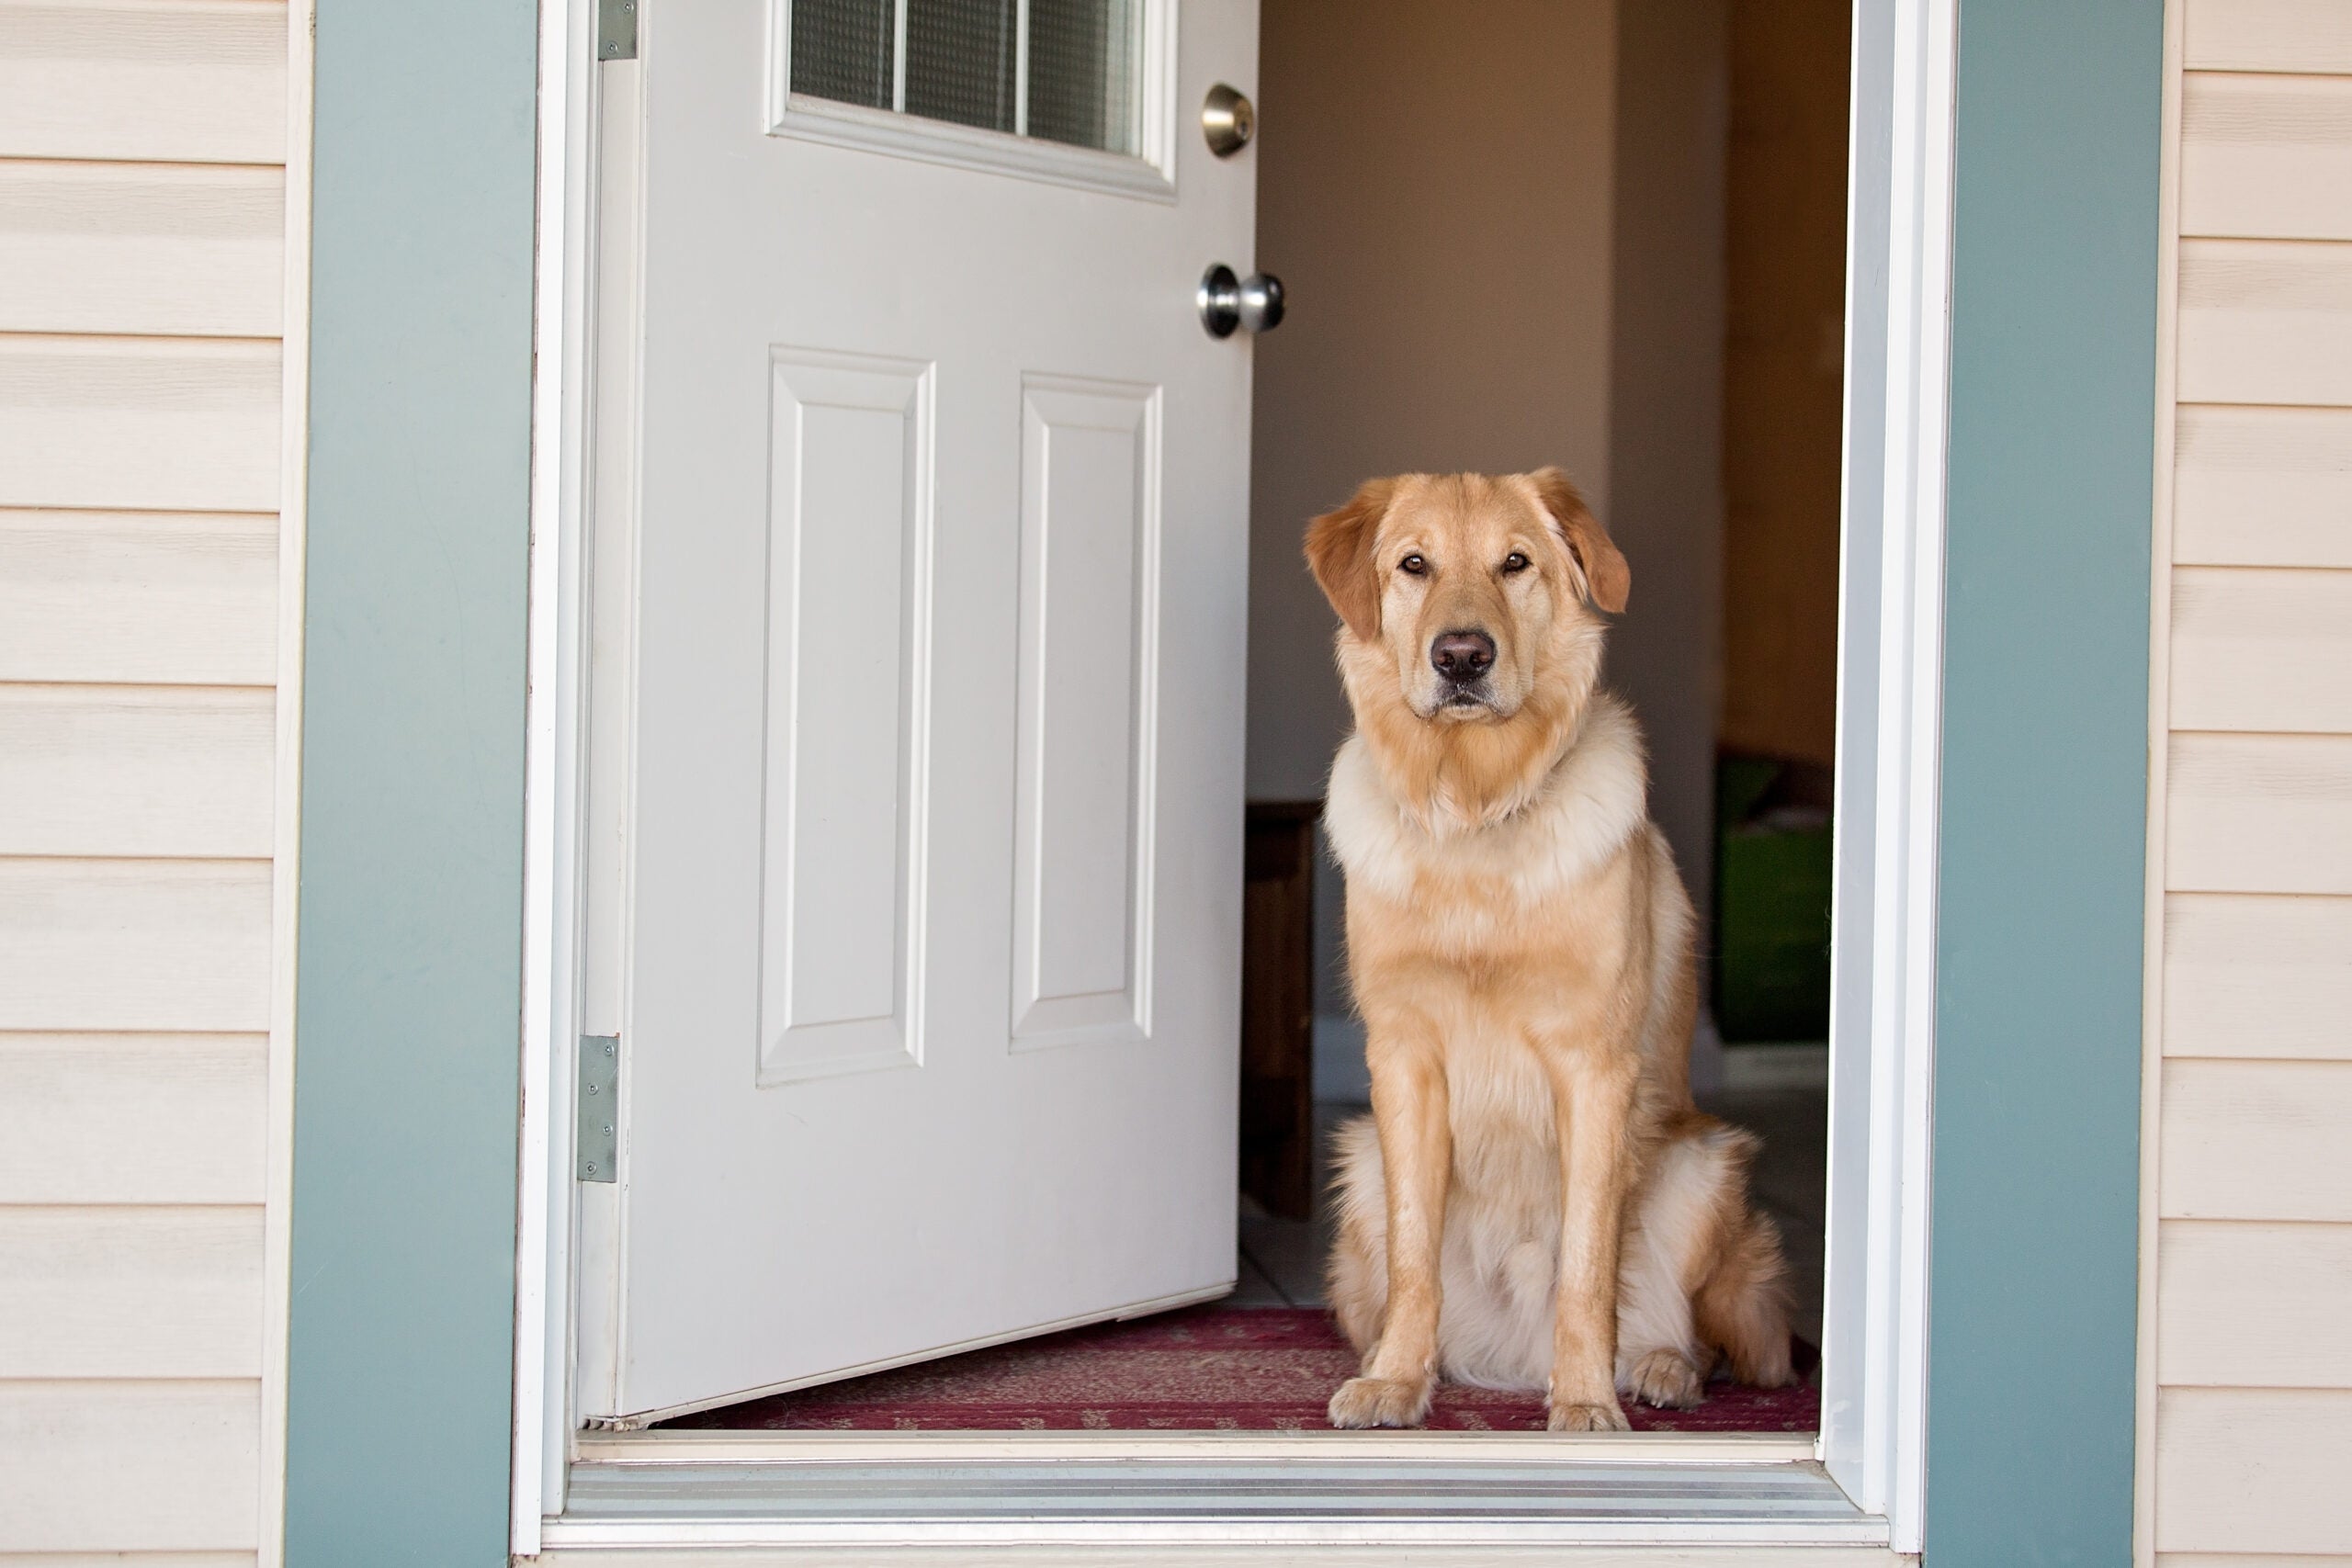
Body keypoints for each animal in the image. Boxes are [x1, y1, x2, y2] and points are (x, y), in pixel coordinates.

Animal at [1307, 469, 1796, 1438]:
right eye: (1413, 564)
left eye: (1515, 563)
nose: (1462, 657)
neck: (1476, 807)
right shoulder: (1404, 1061)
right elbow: (1417, 1257)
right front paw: (1397, 1381)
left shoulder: (1593, 1067)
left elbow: (1586, 1264)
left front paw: (1584, 1399)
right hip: (1360, 1172)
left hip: (1702, 1168)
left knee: (1699, 1333)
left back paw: (1657, 1368)